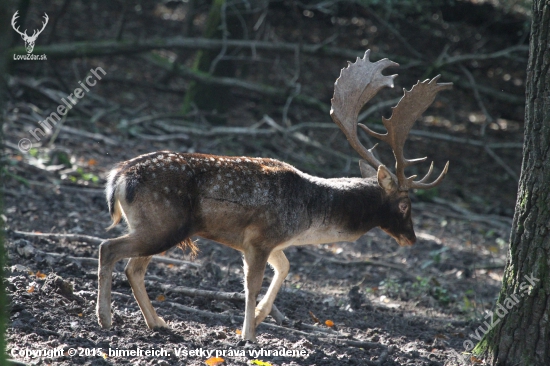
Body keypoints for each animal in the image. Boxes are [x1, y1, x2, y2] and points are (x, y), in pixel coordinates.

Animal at [98, 50, 452, 342]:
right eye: (405, 204)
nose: (411, 238)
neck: (308, 216)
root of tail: (118, 177)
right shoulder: (258, 239)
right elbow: (251, 284)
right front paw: (248, 335)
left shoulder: (274, 243)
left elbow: (285, 267)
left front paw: (257, 317)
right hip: (163, 223)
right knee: (109, 248)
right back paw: (105, 318)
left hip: (158, 226)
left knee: (133, 267)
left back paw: (156, 322)